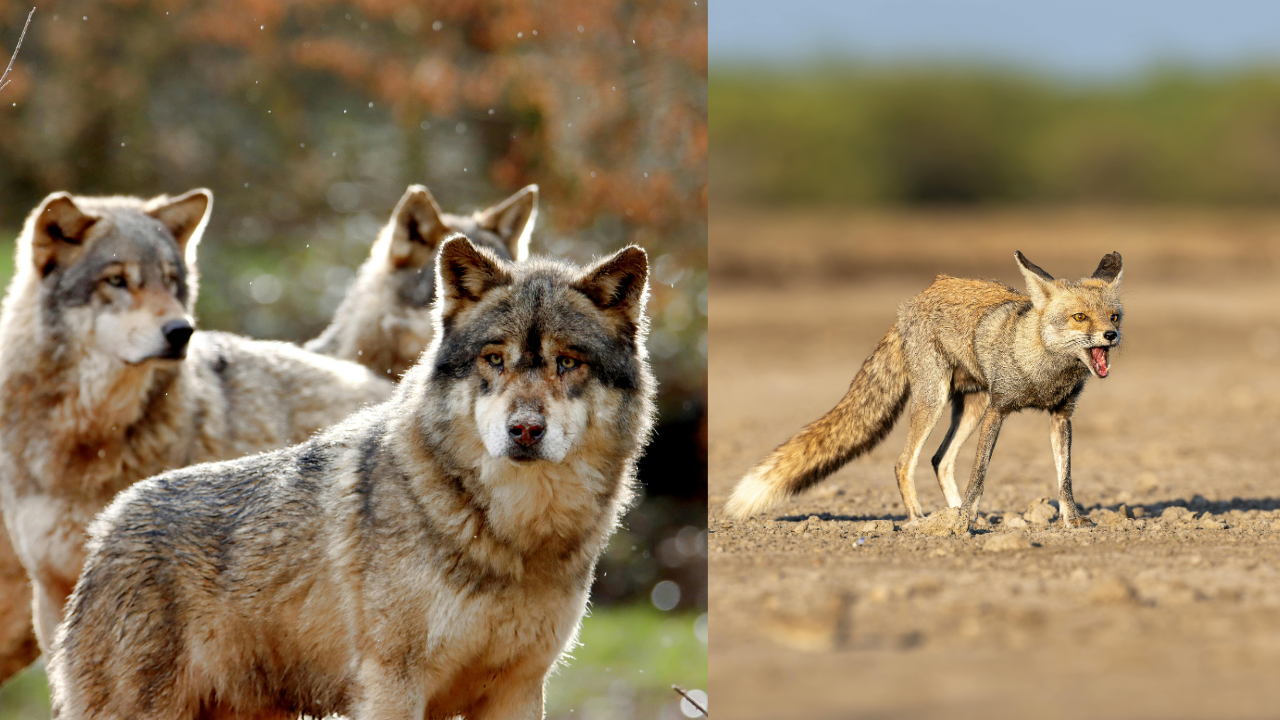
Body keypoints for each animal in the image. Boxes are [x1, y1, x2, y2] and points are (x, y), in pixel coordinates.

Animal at [48, 236, 656, 720]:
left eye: (567, 362)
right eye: (494, 359)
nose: (525, 430)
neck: (512, 537)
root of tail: (108, 524)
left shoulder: (518, 689)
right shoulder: (392, 685)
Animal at [726, 251, 1124, 532]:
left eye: (1114, 316)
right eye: (1079, 318)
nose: (1111, 336)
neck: (1043, 373)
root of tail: (911, 303)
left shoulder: (1061, 415)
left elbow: (1065, 479)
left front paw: (1072, 521)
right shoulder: (998, 409)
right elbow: (979, 474)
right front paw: (964, 521)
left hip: (970, 407)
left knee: (940, 460)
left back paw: (953, 514)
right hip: (934, 401)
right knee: (905, 463)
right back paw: (921, 520)